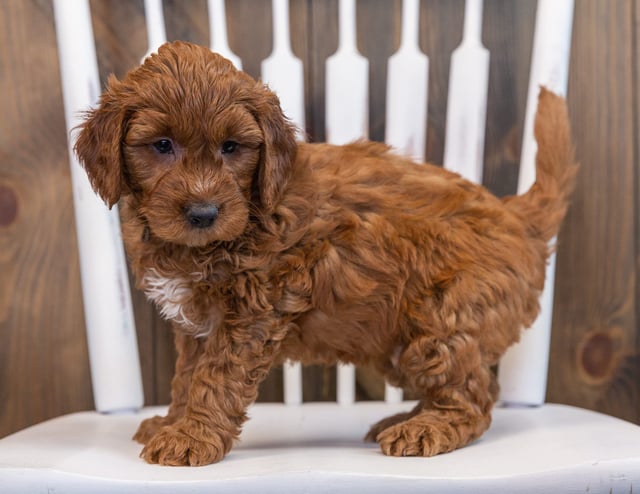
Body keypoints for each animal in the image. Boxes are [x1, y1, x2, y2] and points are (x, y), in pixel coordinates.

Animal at [74, 40, 576, 466]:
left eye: (231, 147)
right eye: (162, 145)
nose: (203, 212)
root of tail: (515, 215)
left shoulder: (252, 313)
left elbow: (214, 378)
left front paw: (190, 437)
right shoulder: (199, 325)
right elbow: (186, 376)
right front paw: (173, 421)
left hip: (445, 321)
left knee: (473, 397)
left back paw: (425, 428)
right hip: (403, 342)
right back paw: (407, 416)